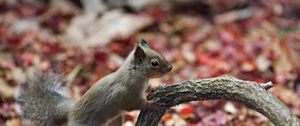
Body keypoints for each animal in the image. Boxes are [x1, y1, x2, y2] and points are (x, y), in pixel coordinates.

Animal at [15, 39, 172, 125]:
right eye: (154, 63)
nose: (170, 68)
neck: (134, 73)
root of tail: (70, 113)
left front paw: (155, 87)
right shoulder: (128, 94)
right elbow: (134, 104)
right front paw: (152, 104)